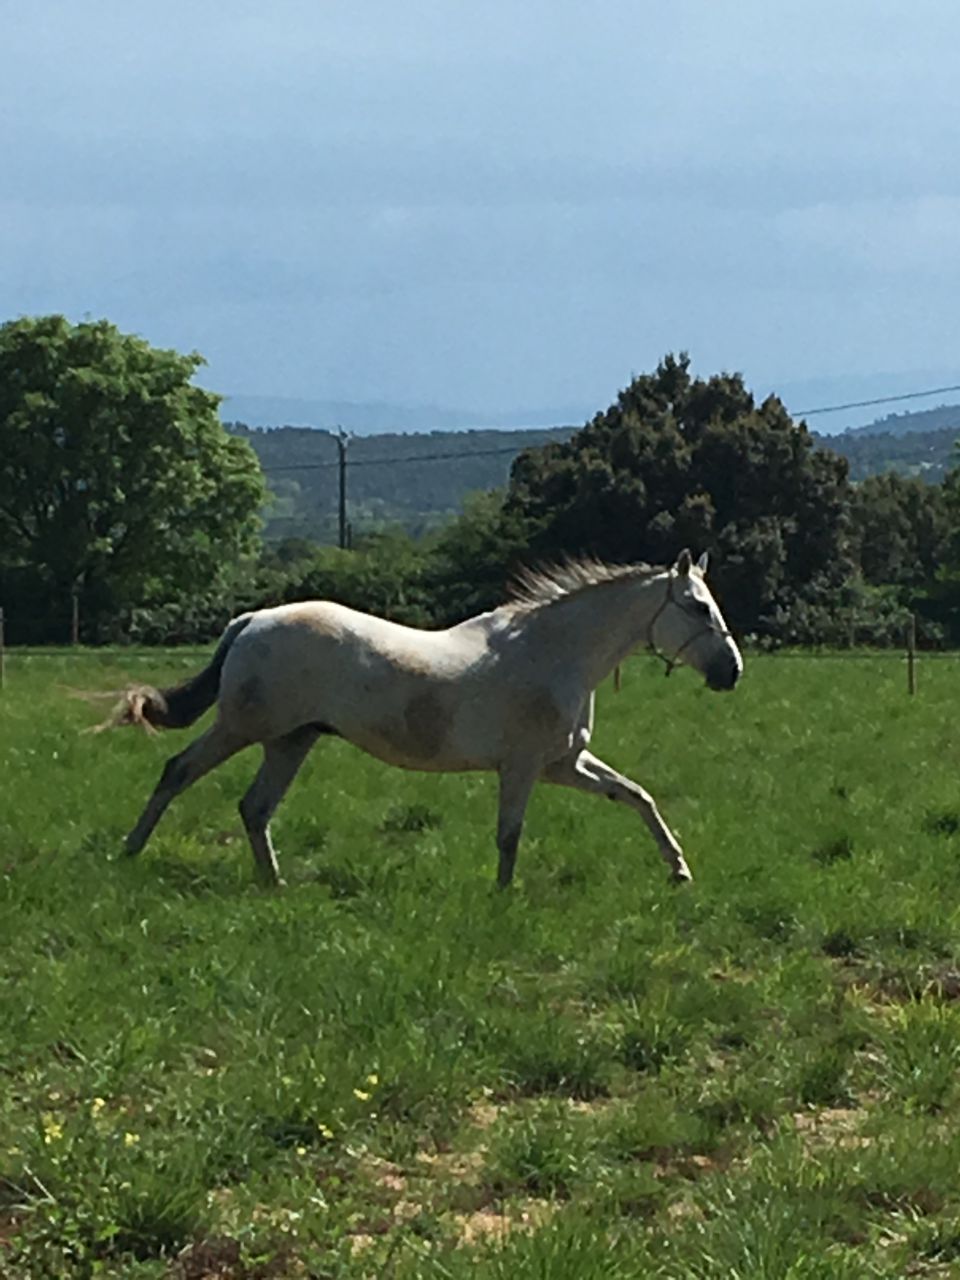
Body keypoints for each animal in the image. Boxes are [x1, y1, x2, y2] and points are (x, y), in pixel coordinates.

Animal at [103, 548, 742, 888]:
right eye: (696, 607)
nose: (731, 671)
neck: (552, 652)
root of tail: (252, 620)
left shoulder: (564, 762)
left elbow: (636, 796)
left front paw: (679, 870)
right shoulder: (523, 766)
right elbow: (510, 834)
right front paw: (503, 897)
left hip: (291, 741)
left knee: (254, 808)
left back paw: (274, 884)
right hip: (244, 728)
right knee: (178, 771)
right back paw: (129, 852)